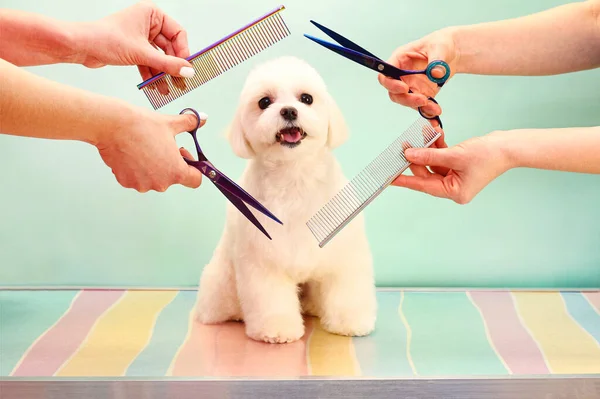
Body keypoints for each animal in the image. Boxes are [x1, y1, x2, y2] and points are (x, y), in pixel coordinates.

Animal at [195, 56, 378, 344]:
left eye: (306, 98)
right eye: (264, 102)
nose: (289, 111)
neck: (294, 175)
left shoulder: (343, 253)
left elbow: (346, 289)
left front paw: (351, 322)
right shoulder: (262, 259)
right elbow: (271, 299)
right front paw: (277, 329)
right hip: (222, 282)